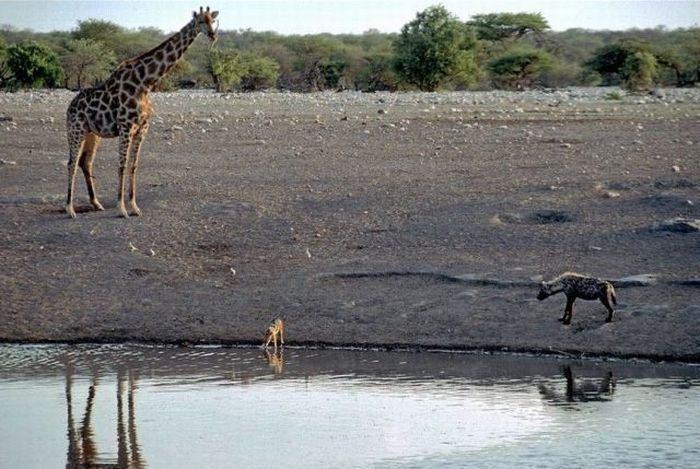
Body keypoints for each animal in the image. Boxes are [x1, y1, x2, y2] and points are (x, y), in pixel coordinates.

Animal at [66, 5, 220, 218]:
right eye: (199, 21)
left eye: (212, 20)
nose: (213, 35)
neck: (145, 83)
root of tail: (69, 106)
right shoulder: (125, 127)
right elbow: (122, 166)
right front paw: (122, 209)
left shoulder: (142, 128)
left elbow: (134, 165)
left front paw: (134, 207)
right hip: (76, 130)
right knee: (71, 163)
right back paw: (70, 209)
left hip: (92, 134)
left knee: (84, 162)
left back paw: (96, 203)